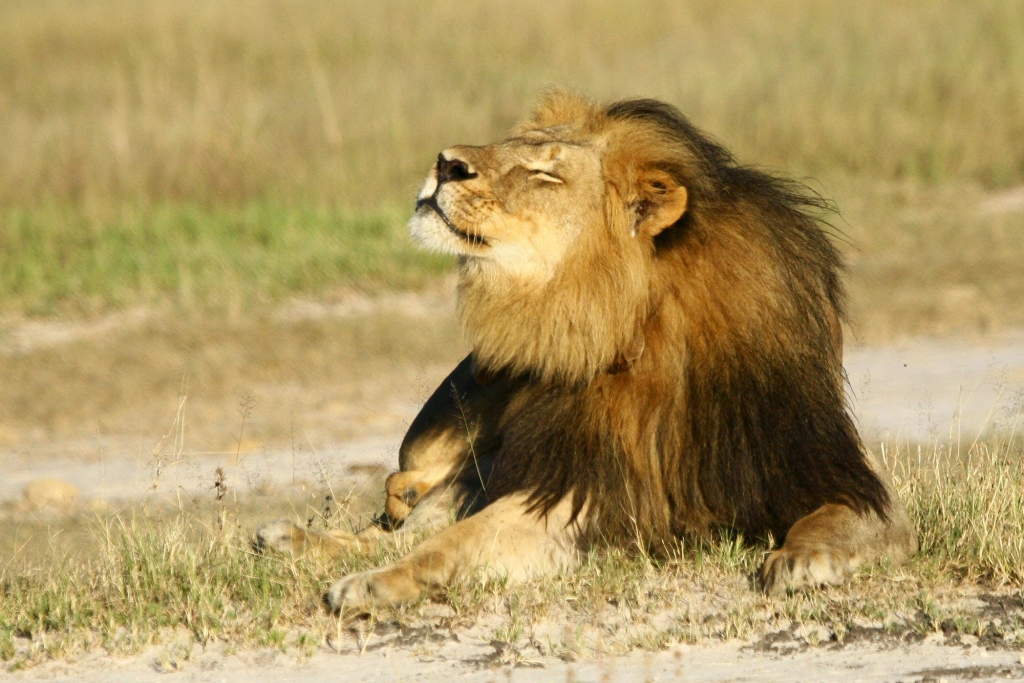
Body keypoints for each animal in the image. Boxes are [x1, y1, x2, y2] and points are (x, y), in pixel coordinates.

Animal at [258, 92, 921, 610]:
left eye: (545, 174)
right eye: (513, 144)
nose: (445, 163)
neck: (632, 321)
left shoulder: (832, 470)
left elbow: (842, 516)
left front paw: (803, 560)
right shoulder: (574, 486)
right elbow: (450, 542)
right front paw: (372, 584)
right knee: (401, 518)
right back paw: (295, 539)